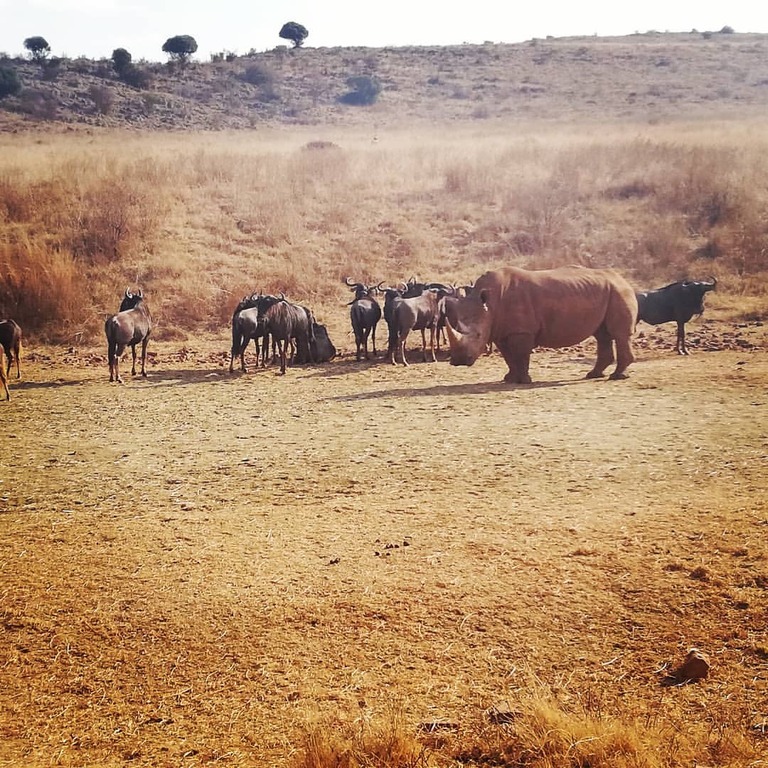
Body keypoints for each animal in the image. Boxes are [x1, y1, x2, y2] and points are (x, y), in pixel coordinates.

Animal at [444, 266, 638, 384]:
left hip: (619, 291)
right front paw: (509, 378)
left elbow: (521, 354)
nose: (459, 361)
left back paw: (617, 376)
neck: (489, 306)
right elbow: (508, 356)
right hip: (607, 291)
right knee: (602, 335)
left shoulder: (522, 331)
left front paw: (524, 381)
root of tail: (622, 278)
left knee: (619, 334)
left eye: (478, 335)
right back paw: (593, 375)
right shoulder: (501, 330)